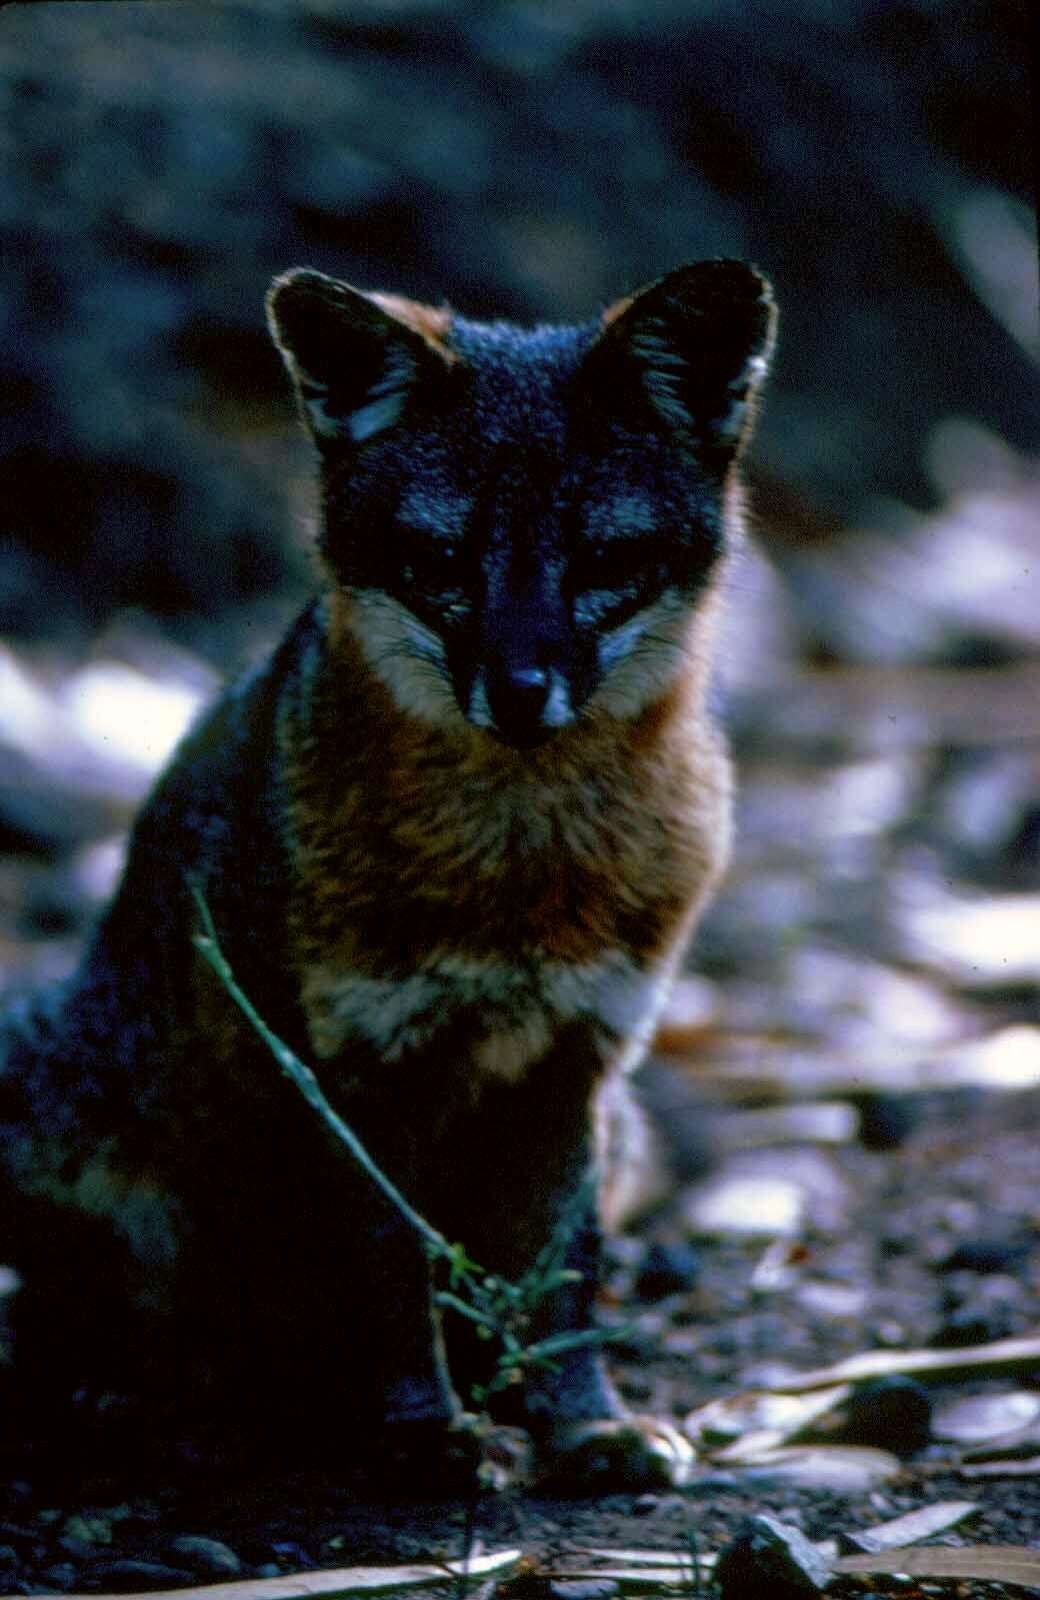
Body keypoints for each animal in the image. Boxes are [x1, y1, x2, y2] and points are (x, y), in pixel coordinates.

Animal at [0, 252, 768, 1484]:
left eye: (603, 560)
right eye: (437, 560)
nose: (519, 687)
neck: (519, 879)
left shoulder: (578, 1061)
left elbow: (563, 1273)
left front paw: (580, 1422)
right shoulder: (358, 1073)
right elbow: (388, 1272)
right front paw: (423, 1434)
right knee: (90, 1314)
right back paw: (149, 1394)